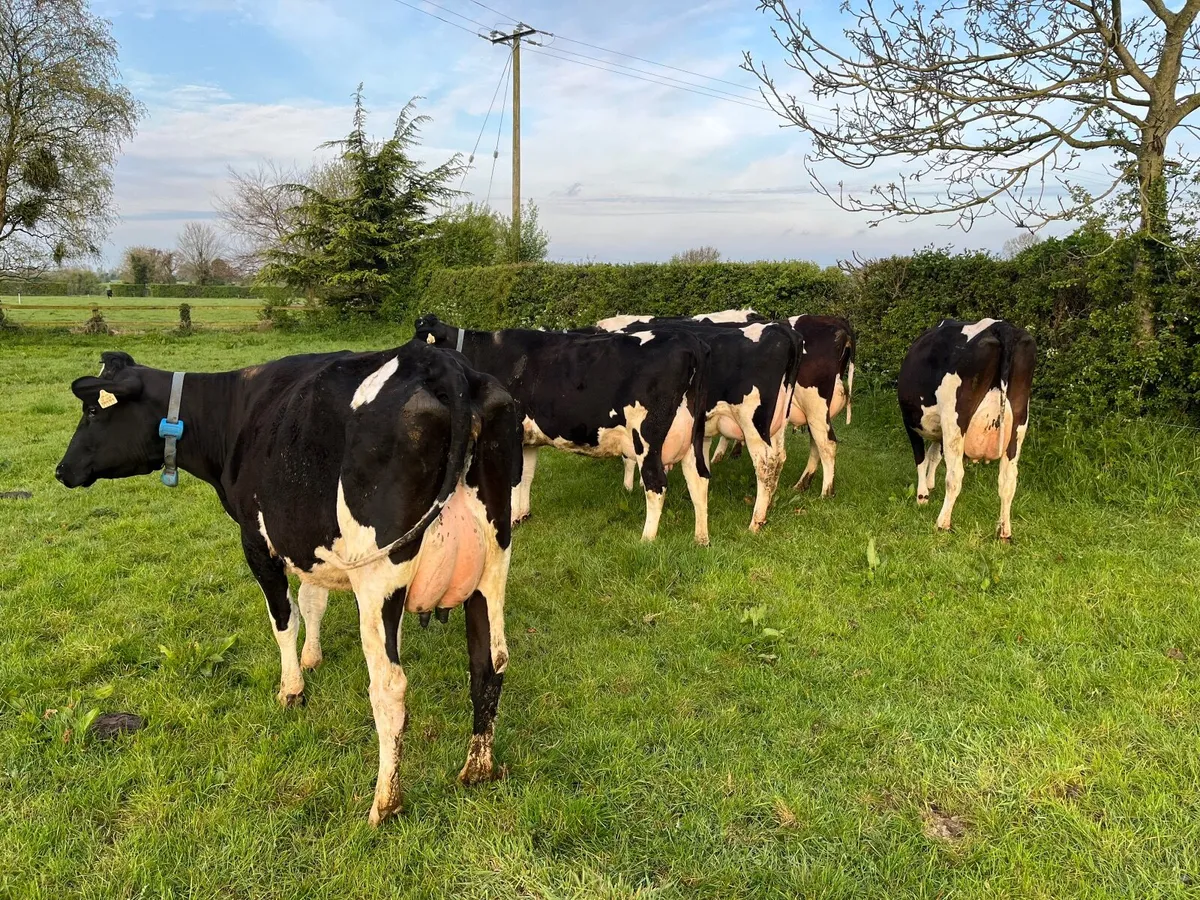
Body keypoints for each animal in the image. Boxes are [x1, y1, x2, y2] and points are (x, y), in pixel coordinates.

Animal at [55, 345, 523, 826]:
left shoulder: (256, 540)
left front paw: (292, 688)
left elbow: (285, 618)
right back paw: (477, 769)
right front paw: (312, 658)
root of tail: (444, 364)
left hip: (379, 576)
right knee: (491, 663)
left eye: (92, 410)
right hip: (493, 564)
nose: (61, 469)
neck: (232, 411)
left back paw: (384, 803)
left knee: (390, 684)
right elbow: (312, 599)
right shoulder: (306, 542)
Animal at [413, 314, 712, 544]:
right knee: (698, 479)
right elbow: (527, 475)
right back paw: (701, 538)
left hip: (647, 436)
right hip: (691, 438)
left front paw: (511, 520)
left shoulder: (514, 429)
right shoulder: (529, 439)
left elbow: (513, 477)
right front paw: (523, 514)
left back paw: (647, 539)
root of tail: (688, 340)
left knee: (656, 483)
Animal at [597, 318, 800, 532]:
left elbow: (630, 458)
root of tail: (780, 329)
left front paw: (628, 487)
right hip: (777, 423)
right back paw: (769, 504)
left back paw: (755, 521)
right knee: (779, 458)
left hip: (753, 422)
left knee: (764, 463)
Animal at [897, 318, 1036, 540]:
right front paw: (929, 485)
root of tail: (1000, 326)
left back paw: (942, 523)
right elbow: (934, 455)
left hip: (955, 420)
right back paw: (1004, 531)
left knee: (955, 476)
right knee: (1008, 481)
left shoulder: (911, 423)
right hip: (1019, 423)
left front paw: (922, 495)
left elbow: (921, 458)